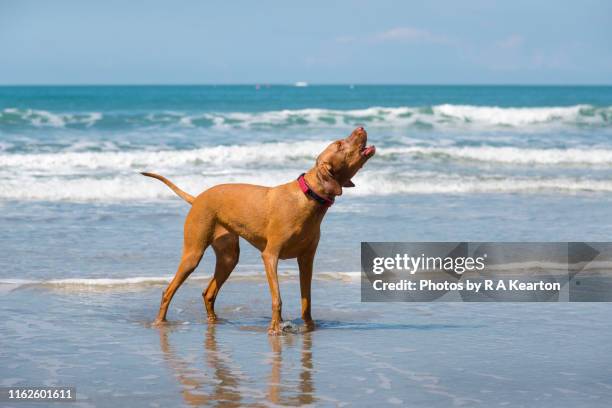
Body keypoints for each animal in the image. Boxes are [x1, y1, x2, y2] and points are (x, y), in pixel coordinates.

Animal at [143, 126, 376, 334]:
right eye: (339, 144)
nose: (361, 127)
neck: (307, 197)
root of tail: (197, 198)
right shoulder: (270, 256)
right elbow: (277, 298)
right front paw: (275, 328)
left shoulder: (306, 259)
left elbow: (306, 300)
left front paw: (308, 327)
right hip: (193, 254)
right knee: (168, 291)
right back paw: (160, 322)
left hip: (229, 257)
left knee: (208, 293)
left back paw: (214, 322)